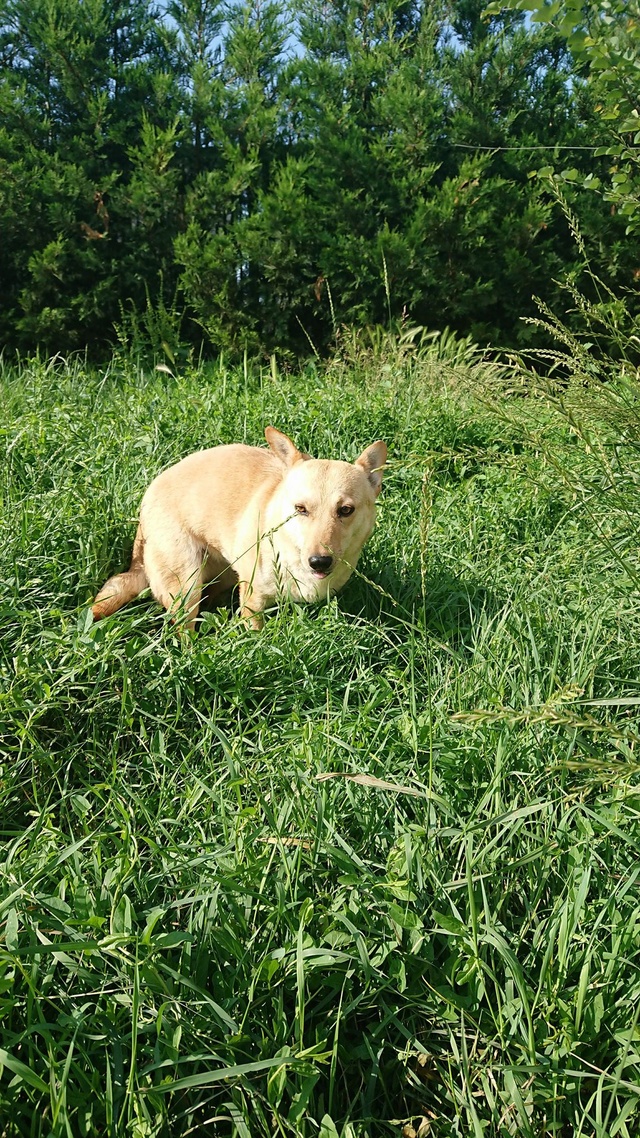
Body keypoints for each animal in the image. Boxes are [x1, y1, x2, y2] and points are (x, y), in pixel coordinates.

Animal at [92, 430, 387, 637]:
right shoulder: (253, 601)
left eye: (346, 510)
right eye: (300, 509)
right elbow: (256, 633)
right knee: (183, 631)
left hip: (223, 575)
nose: (319, 562)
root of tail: (147, 497)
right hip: (186, 584)